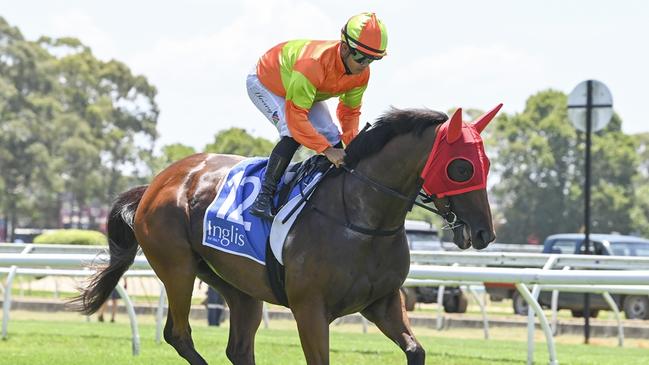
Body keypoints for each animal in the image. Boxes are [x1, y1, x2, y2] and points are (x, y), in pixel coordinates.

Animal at [73, 103, 502, 364]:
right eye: (461, 167)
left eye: (486, 163)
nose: (484, 232)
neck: (362, 221)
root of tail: (156, 183)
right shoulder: (310, 309)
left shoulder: (383, 301)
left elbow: (416, 351)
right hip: (177, 268)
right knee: (179, 335)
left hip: (238, 287)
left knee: (238, 348)